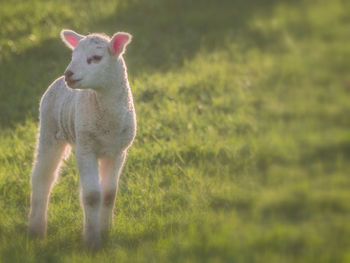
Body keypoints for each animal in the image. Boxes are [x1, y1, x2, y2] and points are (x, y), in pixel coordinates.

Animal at [28, 29, 137, 250]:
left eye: (95, 58)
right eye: (73, 56)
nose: (68, 74)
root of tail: (57, 81)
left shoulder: (118, 152)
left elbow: (109, 195)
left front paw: (106, 231)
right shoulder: (86, 149)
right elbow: (93, 196)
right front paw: (92, 241)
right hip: (49, 130)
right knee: (42, 177)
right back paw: (36, 230)